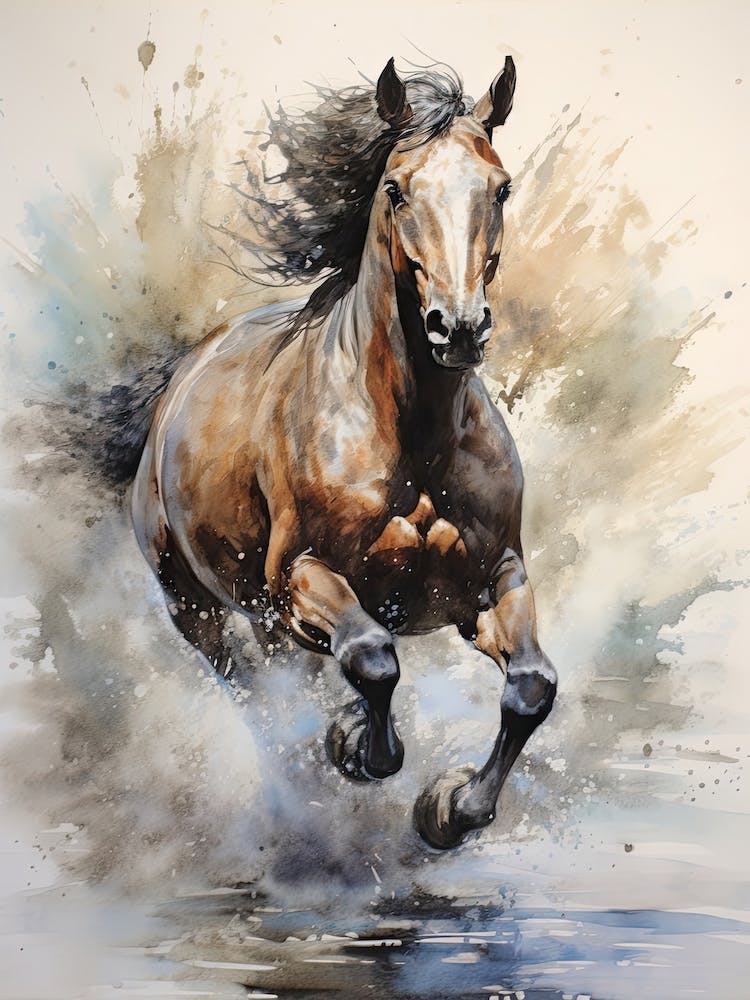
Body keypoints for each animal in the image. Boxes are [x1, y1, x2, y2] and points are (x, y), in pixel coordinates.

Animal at [131, 55, 557, 850]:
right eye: (396, 188)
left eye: (501, 186)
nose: (458, 327)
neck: (414, 442)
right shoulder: (299, 576)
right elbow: (372, 657)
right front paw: (357, 746)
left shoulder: (492, 582)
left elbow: (532, 688)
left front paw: (452, 807)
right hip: (193, 602)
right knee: (252, 687)